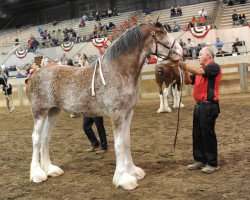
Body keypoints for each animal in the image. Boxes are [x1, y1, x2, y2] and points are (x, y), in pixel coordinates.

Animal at [26, 21, 183, 190]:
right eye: (161, 34)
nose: (180, 51)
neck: (118, 72)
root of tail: (34, 74)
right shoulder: (117, 115)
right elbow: (119, 145)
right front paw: (123, 179)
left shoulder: (128, 114)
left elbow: (126, 142)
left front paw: (133, 171)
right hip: (40, 112)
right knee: (36, 138)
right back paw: (37, 174)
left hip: (53, 111)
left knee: (45, 138)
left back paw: (50, 170)